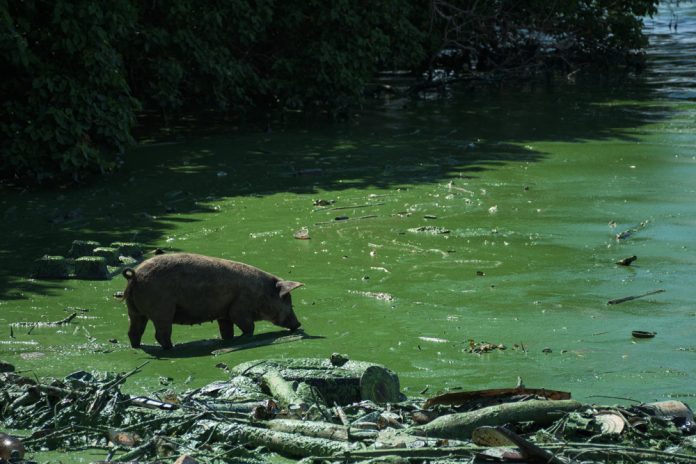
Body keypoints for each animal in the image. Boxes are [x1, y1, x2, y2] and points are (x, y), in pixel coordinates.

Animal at [120, 254, 304, 348]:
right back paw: (173, 348)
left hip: (134, 310)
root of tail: (134, 276)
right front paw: (244, 338)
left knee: (134, 331)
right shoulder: (240, 308)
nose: (299, 324)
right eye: (288, 301)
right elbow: (248, 326)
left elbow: (226, 330)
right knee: (160, 333)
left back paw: (137, 346)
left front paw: (229, 340)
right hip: (162, 309)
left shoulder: (224, 314)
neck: (262, 293)